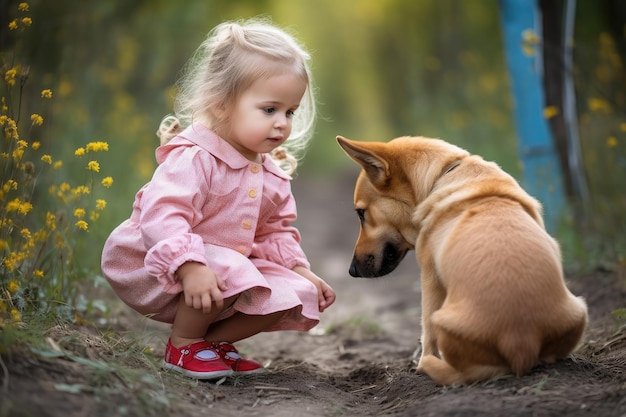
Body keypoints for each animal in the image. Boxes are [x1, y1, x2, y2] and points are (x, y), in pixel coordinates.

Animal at [336, 136, 584, 384]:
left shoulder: (430, 279)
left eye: (361, 213)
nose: (351, 271)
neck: (443, 175)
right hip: (579, 311)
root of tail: (521, 343)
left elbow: (427, 333)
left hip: (443, 320)